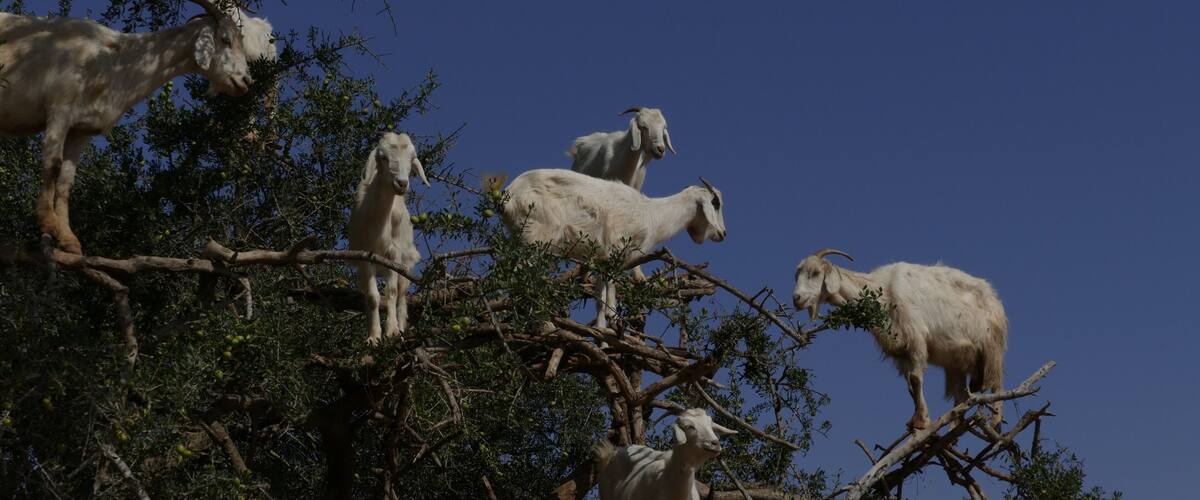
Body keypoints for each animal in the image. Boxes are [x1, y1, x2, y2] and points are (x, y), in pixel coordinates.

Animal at [0, 0, 257, 254]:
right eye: (225, 39)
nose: (246, 81)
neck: (112, 60)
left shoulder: (81, 129)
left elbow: (66, 181)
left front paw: (69, 240)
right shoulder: (59, 107)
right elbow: (53, 164)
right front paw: (48, 223)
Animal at [347, 132, 429, 344]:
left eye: (411, 159)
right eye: (383, 157)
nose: (402, 183)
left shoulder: (394, 254)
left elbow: (391, 293)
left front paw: (391, 331)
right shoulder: (364, 256)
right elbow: (373, 297)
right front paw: (373, 337)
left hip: (407, 264)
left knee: (401, 296)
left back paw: (401, 328)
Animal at [491, 169, 725, 329]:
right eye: (716, 203)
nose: (723, 233)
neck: (650, 213)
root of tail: (508, 196)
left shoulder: (602, 259)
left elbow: (600, 297)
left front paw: (602, 331)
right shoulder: (616, 247)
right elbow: (611, 285)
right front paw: (614, 318)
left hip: (518, 238)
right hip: (536, 238)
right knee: (526, 275)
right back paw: (544, 323)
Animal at [791, 249, 1008, 430]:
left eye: (815, 273)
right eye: (797, 274)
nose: (797, 298)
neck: (883, 293)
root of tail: (995, 299)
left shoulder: (916, 339)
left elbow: (916, 379)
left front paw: (922, 422)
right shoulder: (901, 352)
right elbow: (910, 387)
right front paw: (915, 420)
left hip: (992, 349)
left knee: (996, 384)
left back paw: (995, 422)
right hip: (957, 363)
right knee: (960, 395)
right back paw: (953, 427)